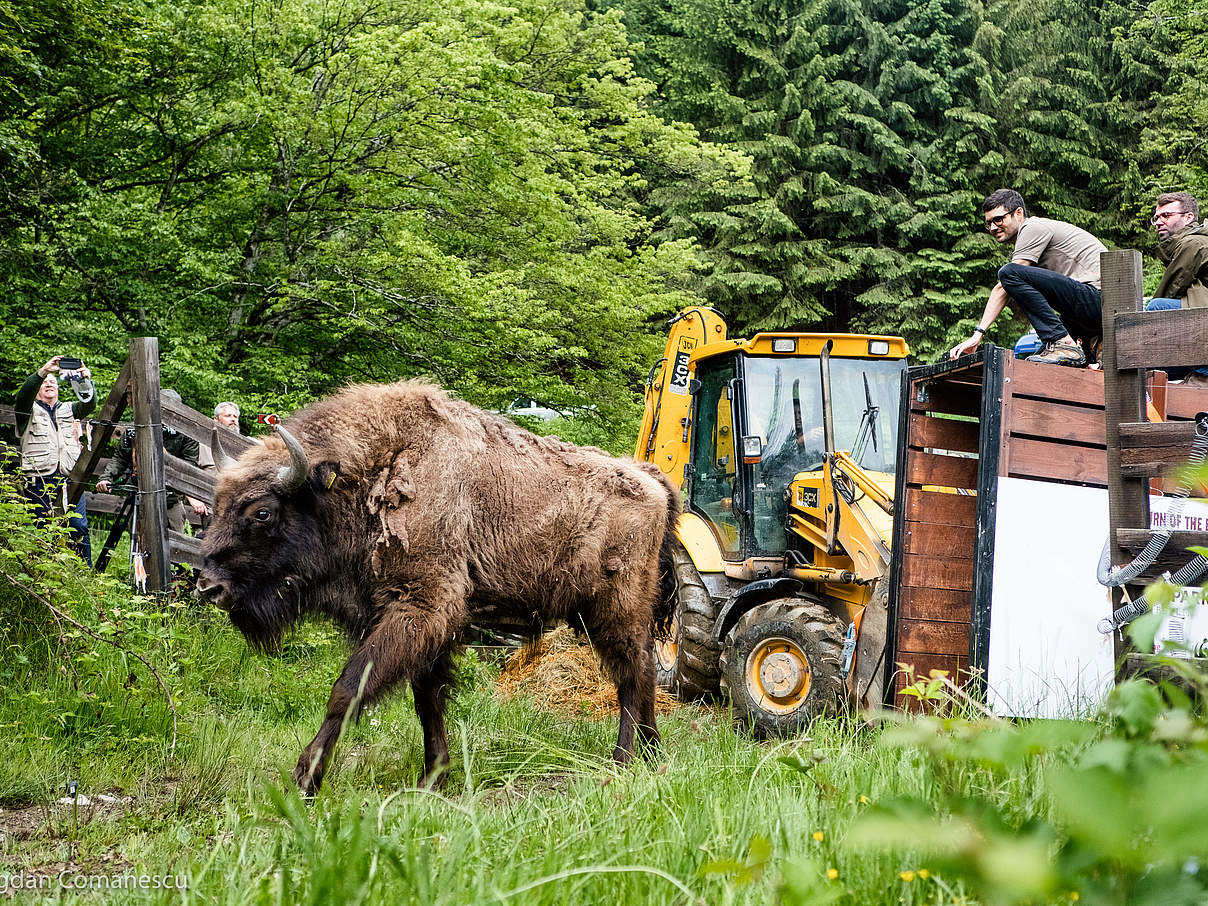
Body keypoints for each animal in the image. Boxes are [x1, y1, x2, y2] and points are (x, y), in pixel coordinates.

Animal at [193, 381, 676, 792]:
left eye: (262, 512)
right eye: (216, 503)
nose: (209, 587)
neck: (372, 474)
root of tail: (649, 478)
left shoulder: (420, 608)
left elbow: (348, 689)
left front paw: (306, 778)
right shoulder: (421, 627)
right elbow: (427, 698)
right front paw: (433, 777)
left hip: (616, 608)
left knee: (631, 672)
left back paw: (623, 760)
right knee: (642, 669)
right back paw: (651, 752)